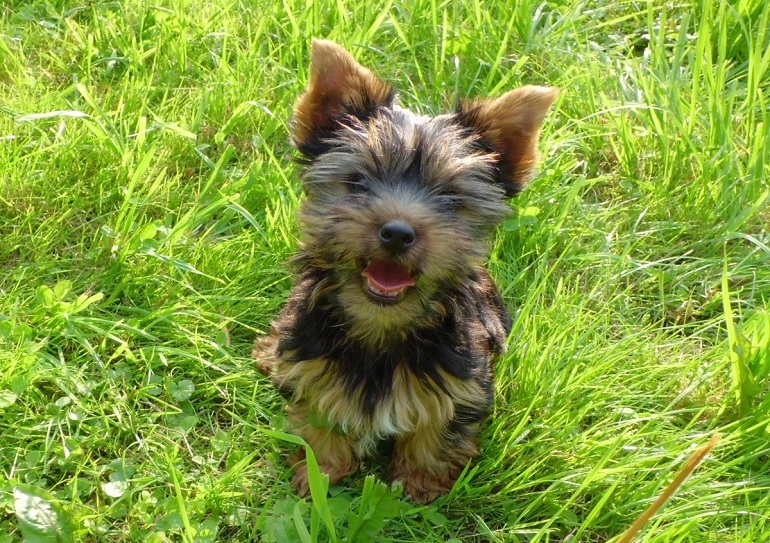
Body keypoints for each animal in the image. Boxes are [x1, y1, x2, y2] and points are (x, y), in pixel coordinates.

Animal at [255, 39, 556, 506]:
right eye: (358, 182)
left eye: (450, 198)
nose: (397, 232)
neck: (382, 326)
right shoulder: (311, 365)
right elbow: (318, 416)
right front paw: (321, 470)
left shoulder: (462, 382)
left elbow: (438, 430)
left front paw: (419, 483)